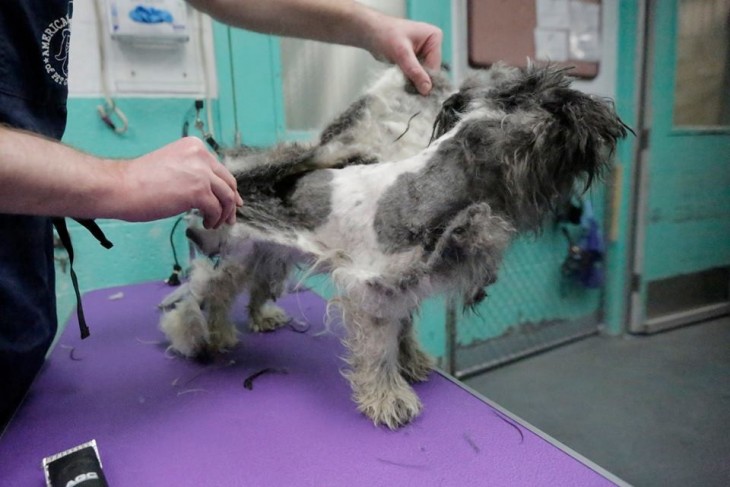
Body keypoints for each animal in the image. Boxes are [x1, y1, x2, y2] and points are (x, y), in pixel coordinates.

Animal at [158, 63, 624, 428]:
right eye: (556, 99)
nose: (609, 115)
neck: (432, 190)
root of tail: (240, 171)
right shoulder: (373, 295)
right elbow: (379, 352)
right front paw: (387, 399)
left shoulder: (404, 288)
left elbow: (404, 332)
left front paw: (412, 363)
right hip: (231, 256)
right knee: (210, 296)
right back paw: (209, 335)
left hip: (272, 254)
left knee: (252, 288)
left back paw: (258, 318)